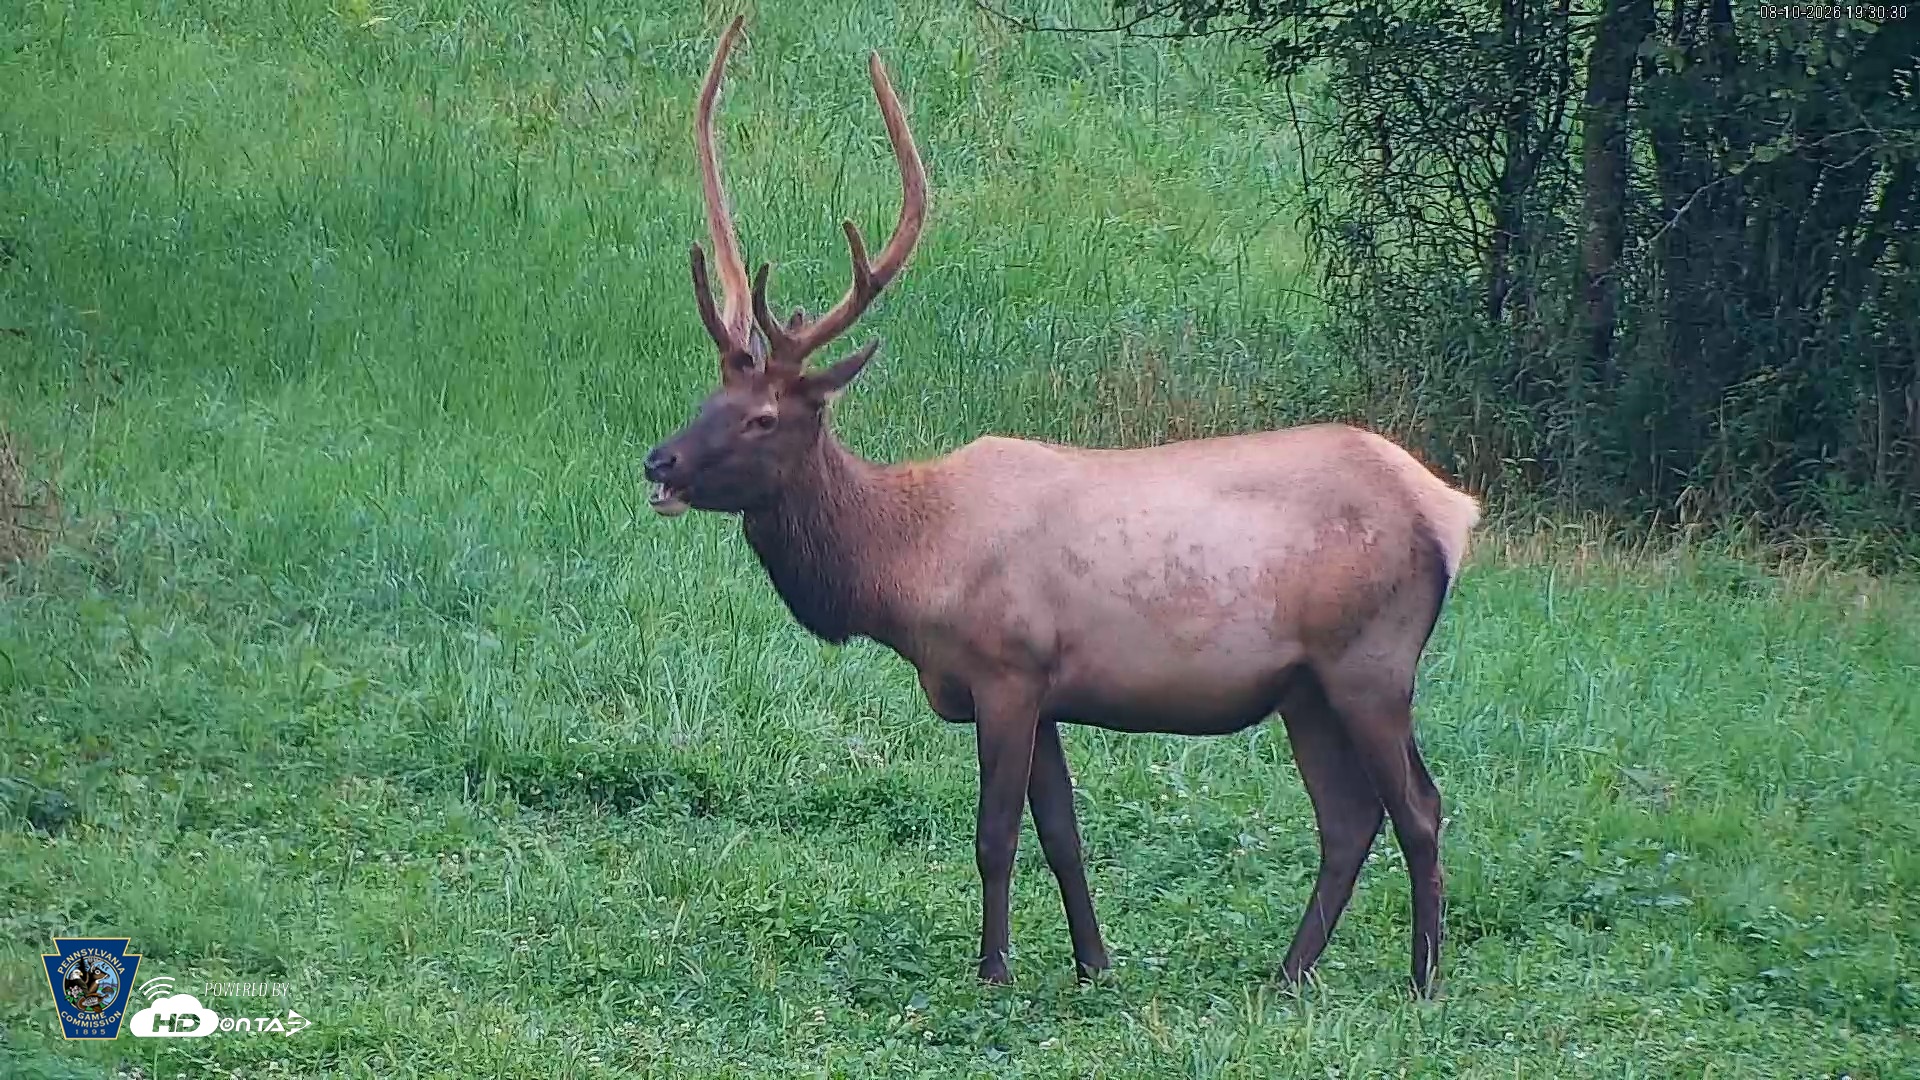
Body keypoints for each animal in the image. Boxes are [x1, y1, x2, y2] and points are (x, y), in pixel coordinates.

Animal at [642, 16, 1481, 996]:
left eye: (764, 416)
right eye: (710, 395)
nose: (659, 460)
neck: (904, 572)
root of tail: (1452, 512)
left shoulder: (1007, 668)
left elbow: (995, 836)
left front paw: (995, 972)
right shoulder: (1043, 690)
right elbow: (1063, 834)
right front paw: (1093, 964)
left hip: (1371, 660)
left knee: (1419, 806)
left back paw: (1422, 981)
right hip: (1306, 685)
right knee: (1349, 817)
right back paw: (1288, 974)